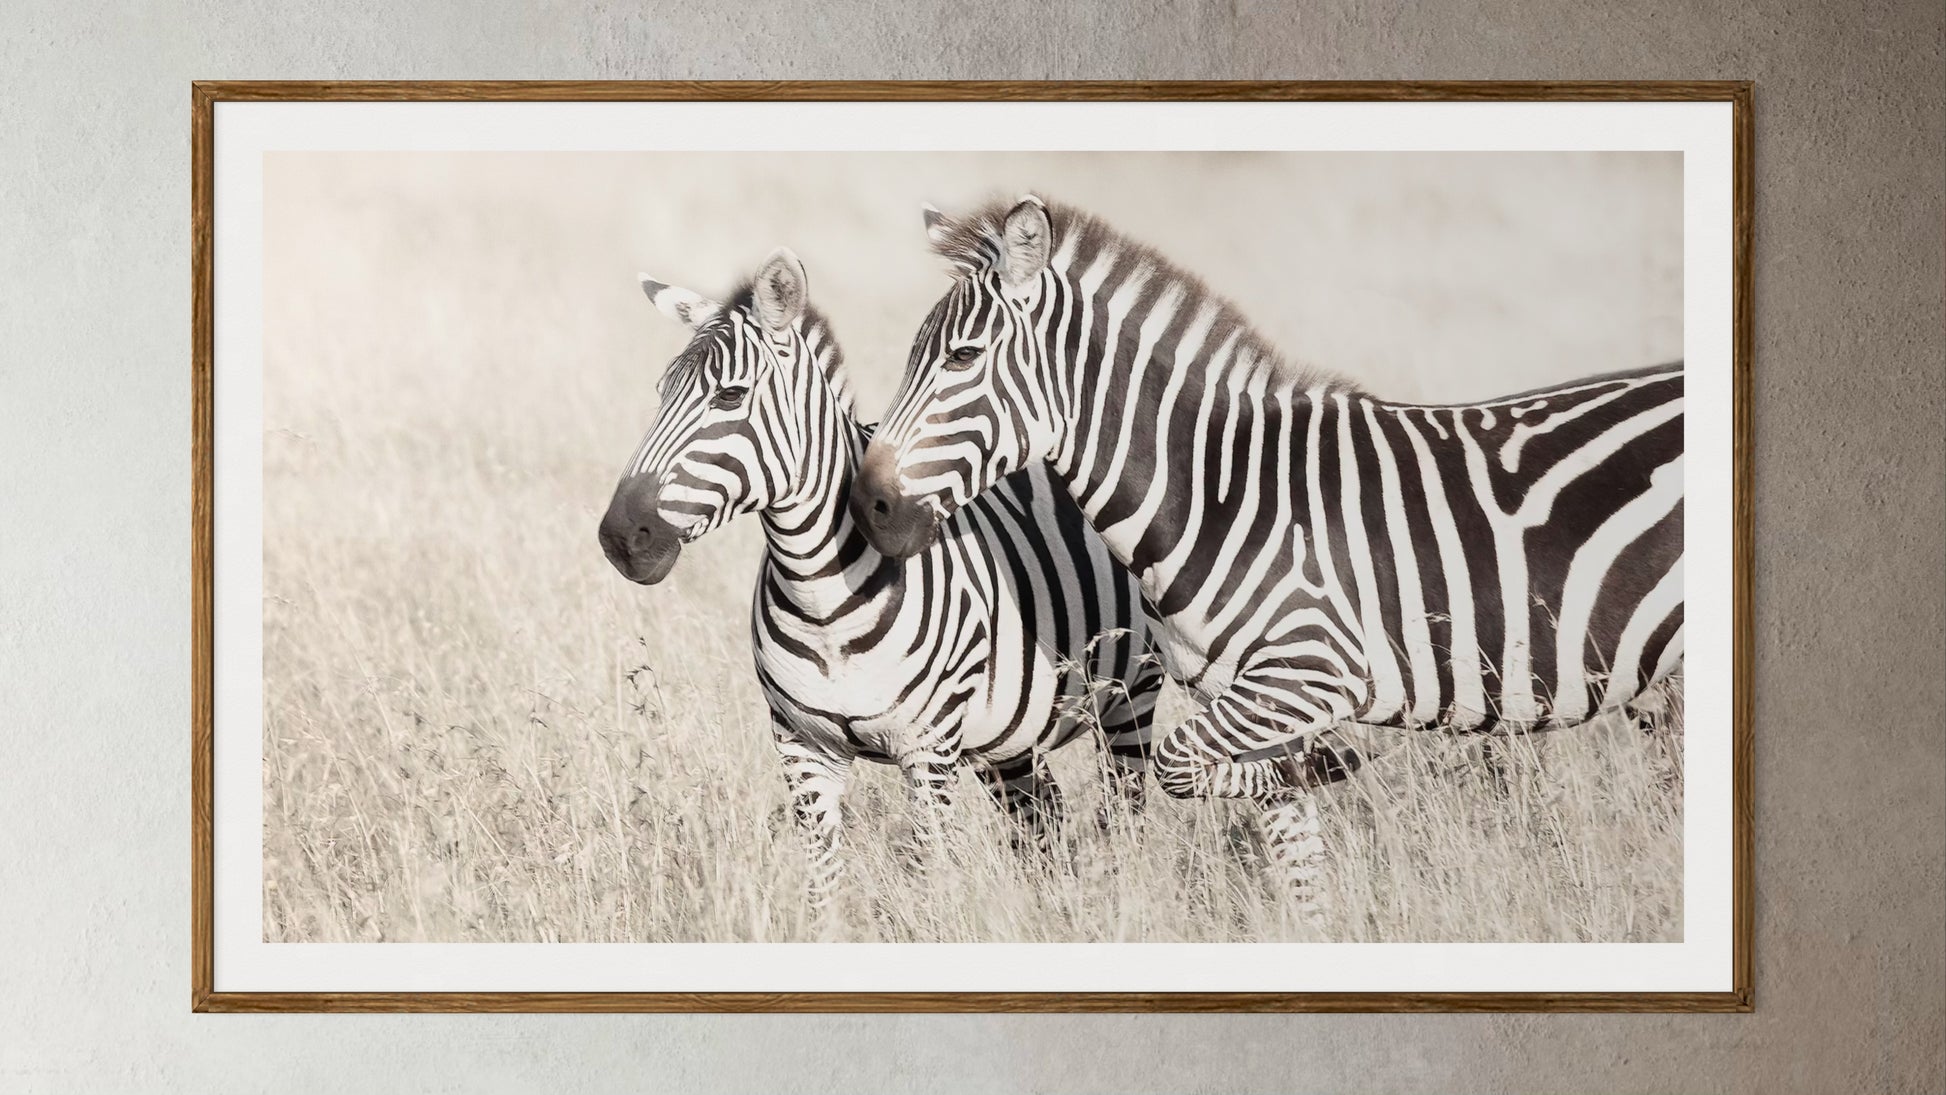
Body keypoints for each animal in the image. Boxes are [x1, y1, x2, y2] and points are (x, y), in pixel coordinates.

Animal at [597, 247, 1163, 927]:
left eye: (731, 395)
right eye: (661, 393)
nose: (620, 537)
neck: (821, 600)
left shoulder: (929, 750)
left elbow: (930, 872)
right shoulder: (800, 749)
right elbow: (822, 886)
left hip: (1132, 696)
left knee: (1126, 814)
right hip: (1011, 736)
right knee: (1045, 824)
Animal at [851, 196, 1684, 913]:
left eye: (963, 358)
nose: (869, 507)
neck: (1224, 495)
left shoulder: (1313, 674)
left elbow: (1176, 764)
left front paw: (1334, 765)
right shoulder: (1251, 701)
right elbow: (1294, 862)